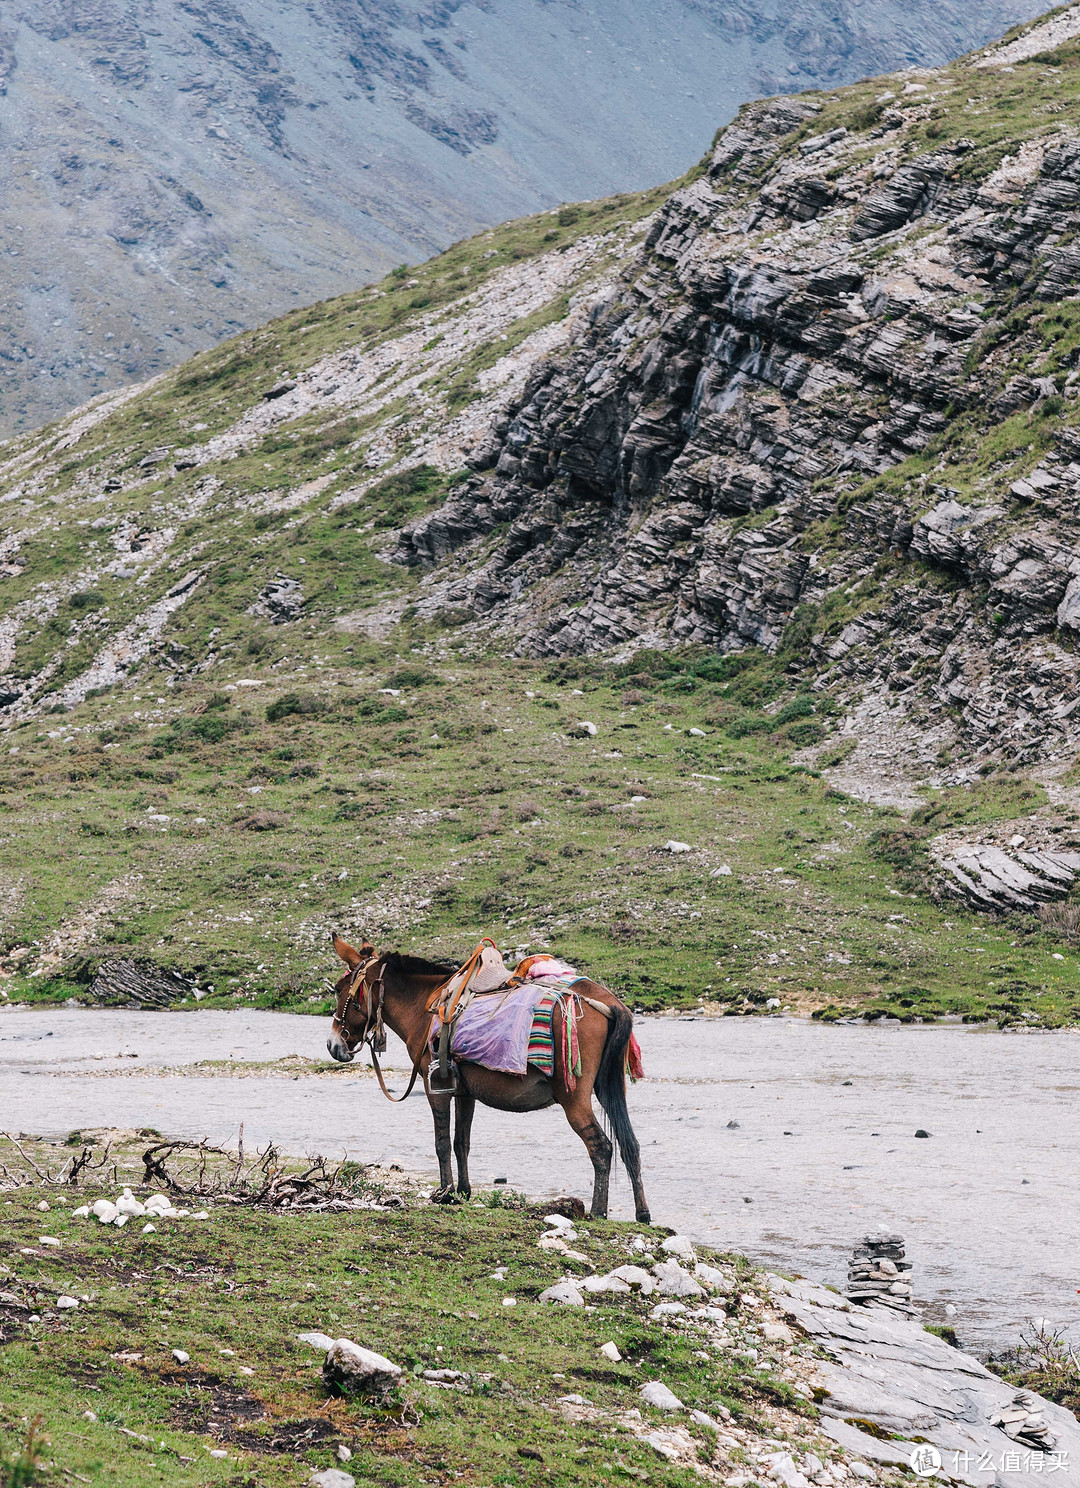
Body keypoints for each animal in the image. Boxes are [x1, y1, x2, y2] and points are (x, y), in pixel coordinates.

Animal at [325, 934, 651, 1226]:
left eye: (340, 989)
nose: (333, 1045)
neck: (424, 1007)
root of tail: (611, 1005)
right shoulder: (464, 1092)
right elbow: (461, 1142)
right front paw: (463, 1192)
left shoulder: (435, 1086)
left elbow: (441, 1142)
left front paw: (445, 1193)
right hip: (609, 1087)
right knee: (630, 1144)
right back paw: (643, 1214)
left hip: (574, 1098)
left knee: (601, 1147)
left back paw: (598, 1212)